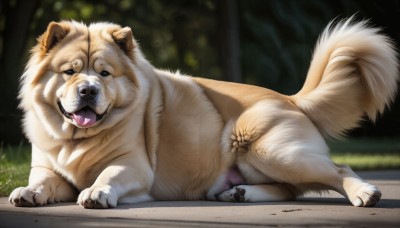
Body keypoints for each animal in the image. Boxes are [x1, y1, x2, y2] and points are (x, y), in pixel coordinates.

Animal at [8, 17, 396, 208]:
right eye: (69, 72)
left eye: (104, 73)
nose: (88, 90)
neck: (78, 141)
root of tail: (291, 99)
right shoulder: (47, 166)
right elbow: (42, 180)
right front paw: (27, 192)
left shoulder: (135, 166)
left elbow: (108, 174)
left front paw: (96, 192)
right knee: (289, 190)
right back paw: (239, 194)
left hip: (272, 150)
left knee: (338, 170)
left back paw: (365, 194)